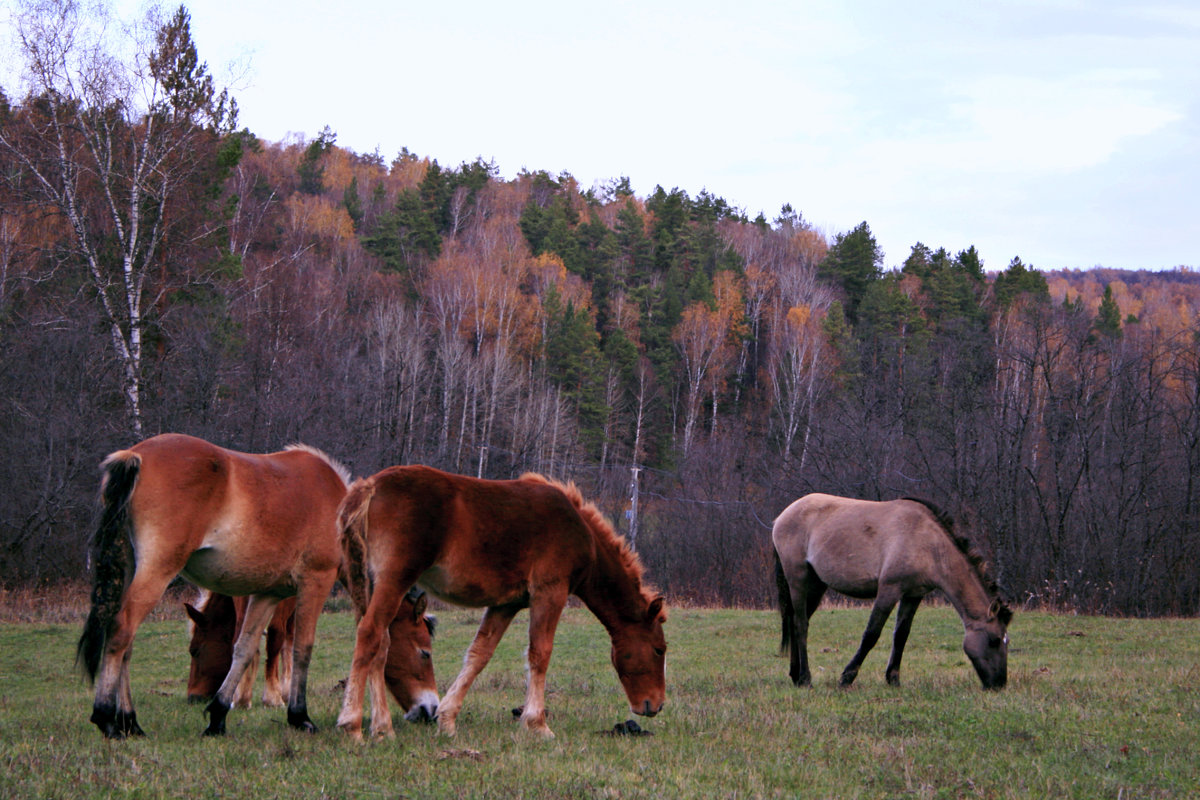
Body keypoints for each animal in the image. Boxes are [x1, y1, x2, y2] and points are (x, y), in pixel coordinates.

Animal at [76, 434, 348, 743]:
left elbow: (245, 648)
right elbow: (302, 649)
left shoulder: (268, 594)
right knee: (121, 631)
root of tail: (134, 456)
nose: (195, 697)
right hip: (158, 571)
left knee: (127, 642)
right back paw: (106, 718)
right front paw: (299, 715)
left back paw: (130, 721)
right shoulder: (315, 582)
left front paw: (218, 716)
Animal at [189, 585, 444, 724]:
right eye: (425, 653)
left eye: (194, 651)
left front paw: (269, 693)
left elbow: (280, 638)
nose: (193, 696)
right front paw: (267, 695)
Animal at [333, 465, 667, 743]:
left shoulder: (506, 604)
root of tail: (369, 487)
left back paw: (382, 727)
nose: (655, 704)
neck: (579, 530)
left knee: (382, 645)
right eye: (659, 649)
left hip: (369, 584)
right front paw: (537, 724)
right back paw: (352, 724)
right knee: (370, 633)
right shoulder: (550, 592)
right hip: (394, 579)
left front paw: (447, 721)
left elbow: (479, 655)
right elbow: (540, 654)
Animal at [768, 494, 1012, 690]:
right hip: (798, 580)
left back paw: (795, 676)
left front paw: (893, 679)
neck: (928, 543)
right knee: (800, 624)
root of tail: (781, 517)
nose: (999, 684)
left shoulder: (913, 595)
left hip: (817, 585)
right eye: (994, 640)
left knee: (796, 622)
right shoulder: (889, 590)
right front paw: (847, 677)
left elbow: (901, 635)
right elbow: (871, 634)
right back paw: (806, 679)